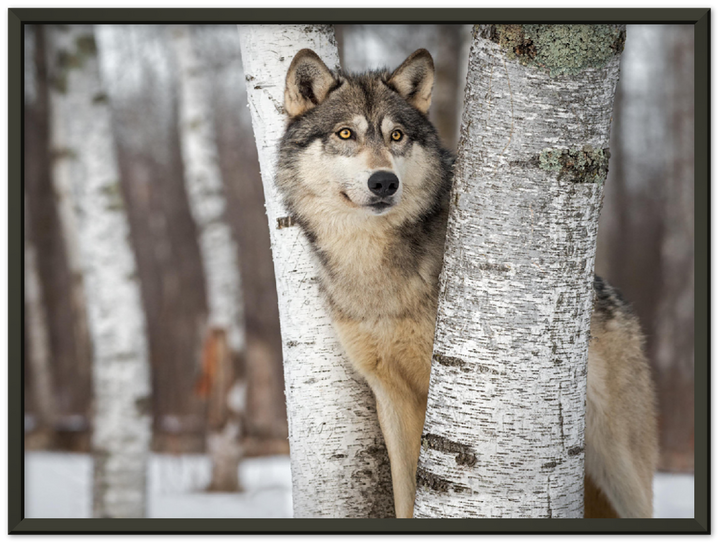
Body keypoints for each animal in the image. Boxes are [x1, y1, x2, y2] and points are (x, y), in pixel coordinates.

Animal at [276, 47, 658, 519]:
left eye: (397, 136)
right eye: (345, 133)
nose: (384, 181)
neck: (374, 270)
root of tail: (616, 299)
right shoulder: (391, 396)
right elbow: (405, 493)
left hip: (621, 471)